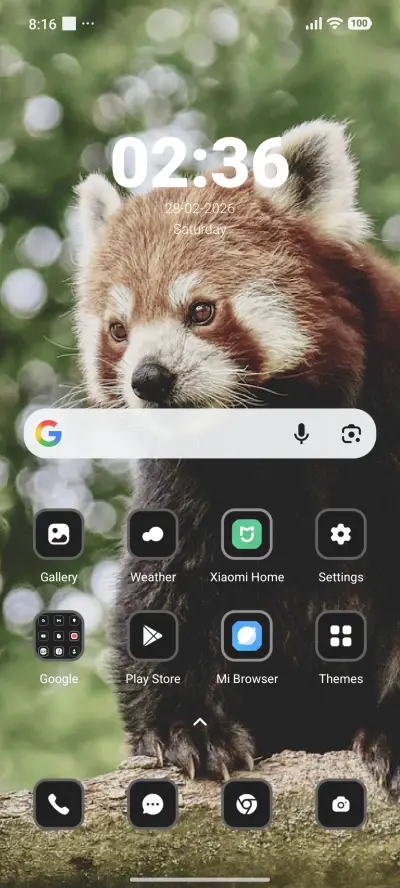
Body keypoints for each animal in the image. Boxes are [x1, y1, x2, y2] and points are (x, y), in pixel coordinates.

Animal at [74, 119, 400, 793]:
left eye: (201, 310)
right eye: (118, 330)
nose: (149, 378)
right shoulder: (184, 484)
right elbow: (163, 595)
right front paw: (188, 730)